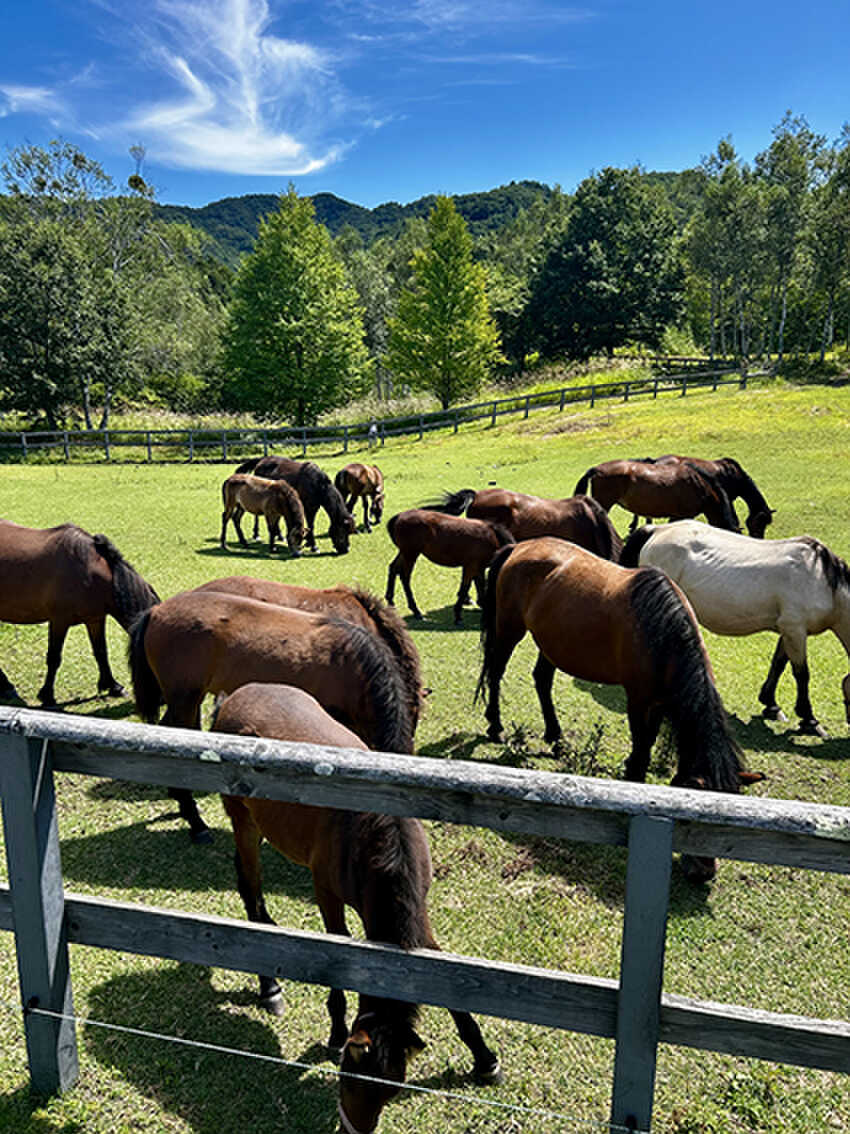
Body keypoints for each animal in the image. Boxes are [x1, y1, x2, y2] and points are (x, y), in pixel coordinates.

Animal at [0, 519, 159, 706]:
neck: (88, 572)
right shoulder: (59, 621)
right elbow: (54, 657)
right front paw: (47, 695)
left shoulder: (95, 619)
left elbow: (101, 652)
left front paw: (113, 686)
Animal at [214, 682, 501, 1134]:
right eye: (348, 1080)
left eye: (390, 1092)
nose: (354, 1129)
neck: (379, 833)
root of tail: (236, 695)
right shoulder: (327, 894)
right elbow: (337, 960)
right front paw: (334, 1030)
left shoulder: (419, 918)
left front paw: (484, 1057)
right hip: (243, 820)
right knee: (251, 890)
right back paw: (269, 986)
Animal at [385, 510, 515, 626]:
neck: (493, 537)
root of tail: (399, 516)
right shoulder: (471, 566)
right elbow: (465, 588)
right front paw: (458, 616)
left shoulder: (479, 568)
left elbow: (480, 588)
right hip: (411, 554)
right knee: (405, 577)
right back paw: (416, 611)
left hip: (404, 553)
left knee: (393, 568)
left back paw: (390, 600)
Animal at [476, 537, 760, 881]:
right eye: (690, 819)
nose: (703, 872)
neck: (662, 633)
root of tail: (519, 546)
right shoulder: (638, 699)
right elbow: (642, 748)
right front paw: (632, 784)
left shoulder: (662, 703)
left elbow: (651, 742)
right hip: (509, 629)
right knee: (496, 672)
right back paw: (495, 725)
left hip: (552, 643)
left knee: (542, 680)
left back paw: (555, 737)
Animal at [620, 520, 850, 737]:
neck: (821, 580)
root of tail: (657, 530)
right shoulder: (795, 629)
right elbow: (802, 675)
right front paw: (809, 720)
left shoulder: (789, 630)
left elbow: (778, 663)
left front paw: (771, 705)